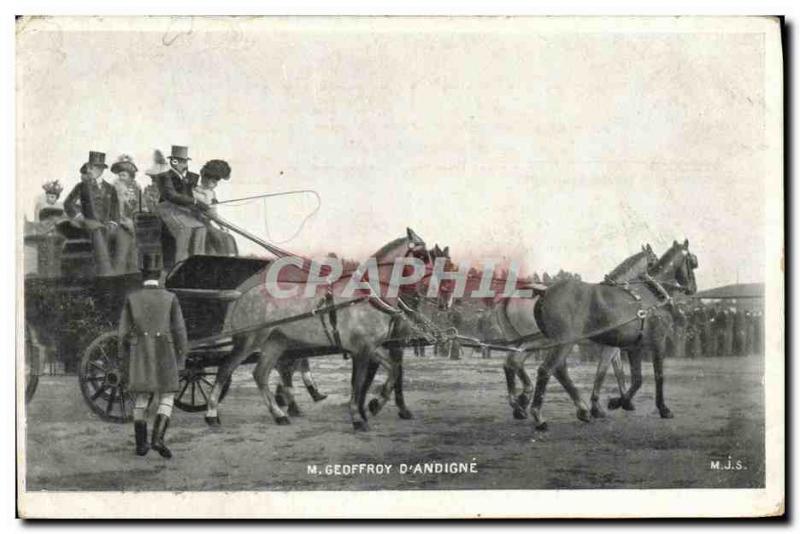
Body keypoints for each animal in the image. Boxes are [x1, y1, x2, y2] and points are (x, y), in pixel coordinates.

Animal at [528, 240, 696, 432]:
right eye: (692, 261)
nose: (693, 288)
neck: (649, 296)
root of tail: (545, 292)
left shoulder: (632, 347)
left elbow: (633, 378)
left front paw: (617, 402)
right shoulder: (656, 343)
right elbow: (656, 376)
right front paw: (663, 408)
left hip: (560, 343)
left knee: (559, 369)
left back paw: (582, 410)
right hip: (564, 342)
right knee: (545, 370)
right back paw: (538, 416)